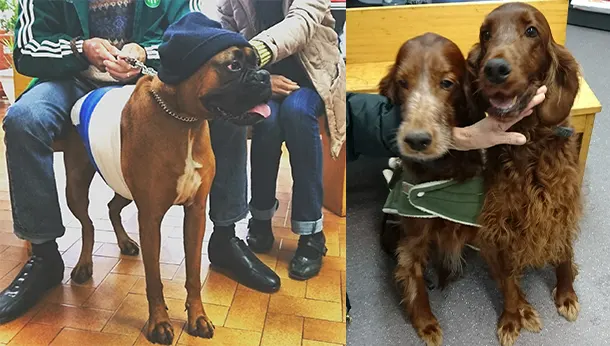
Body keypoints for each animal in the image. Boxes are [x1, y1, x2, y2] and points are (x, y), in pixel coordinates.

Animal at [63, 33, 270, 344]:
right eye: (233, 66)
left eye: (257, 62)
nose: (265, 76)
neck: (184, 120)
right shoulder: (150, 218)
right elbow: (153, 279)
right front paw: (159, 322)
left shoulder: (195, 213)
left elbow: (194, 273)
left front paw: (197, 317)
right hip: (76, 185)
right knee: (87, 224)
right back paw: (84, 265)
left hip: (122, 184)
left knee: (112, 208)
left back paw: (124, 242)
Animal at [378, 33, 482, 346]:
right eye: (403, 82)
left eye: (447, 83)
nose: (417, 140)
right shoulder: (413, 235)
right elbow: (412, 274)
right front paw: (426, 323)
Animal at [466, 3, 580, 346]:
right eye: (485, 33)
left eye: (531, 31)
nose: (494, 69)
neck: (529, 143)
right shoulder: (502, 225)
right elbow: (507, 280)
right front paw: (511, 318)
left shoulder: (560, 209)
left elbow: (564, 256)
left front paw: (567, 294)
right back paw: (526, 311)